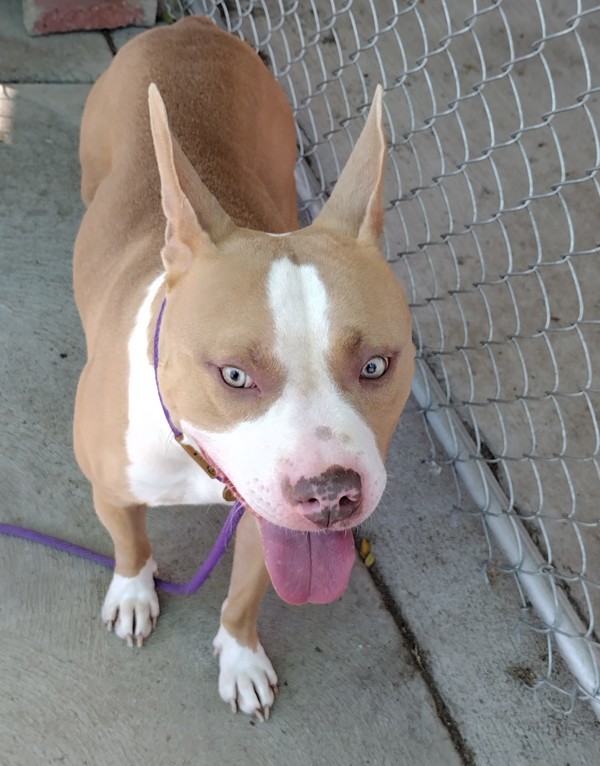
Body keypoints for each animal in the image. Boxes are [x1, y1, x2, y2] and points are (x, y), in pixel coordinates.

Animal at [72, 19, 414, 728]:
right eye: (233, 376)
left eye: (375, 365)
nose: (331, 494)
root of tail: (188, 26)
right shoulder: (112, 491)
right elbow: (130, 545)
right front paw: (135, 593)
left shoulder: (269, 521)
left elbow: (244, 596)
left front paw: (241, 659)